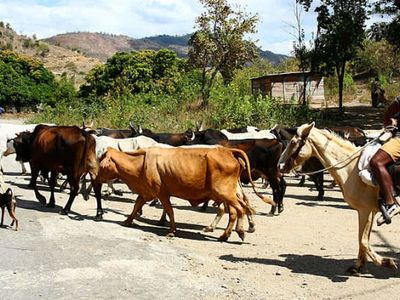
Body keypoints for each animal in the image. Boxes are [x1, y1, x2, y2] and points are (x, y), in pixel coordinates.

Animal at [96, 146, 276, 240]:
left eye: (103, 164)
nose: (95, 178)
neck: (140, 163)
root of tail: (227, 150)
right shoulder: (147, 192)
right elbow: (136, 205)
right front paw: (127, 221)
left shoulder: (161, 193)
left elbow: (169, 211)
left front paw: (172, 231)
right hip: (228, 194)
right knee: (235, 210)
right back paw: (226, 234)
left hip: (225, 193)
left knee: (241, 208)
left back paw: (237, 232)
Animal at [278, 122, 396, 274]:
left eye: (293, 142)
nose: (279, 165)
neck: (352, 169)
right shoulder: (368, 211)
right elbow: (362, 239)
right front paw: (358, 266)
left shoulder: (366, 210)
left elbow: (363, 241)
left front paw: (386, 262)